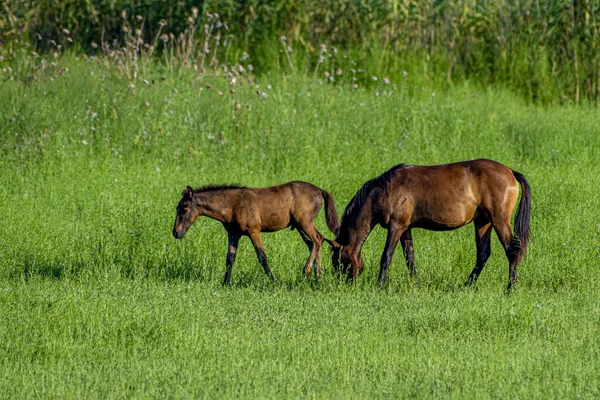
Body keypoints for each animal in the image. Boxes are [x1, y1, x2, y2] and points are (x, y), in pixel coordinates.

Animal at [175, 181, 342, 284]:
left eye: (185, 207)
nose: (176, 233)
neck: (232, 205)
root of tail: (320, 190)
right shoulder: (233, 234)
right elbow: (230, 259)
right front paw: (225, 283)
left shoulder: (254, 231)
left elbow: (262, 257)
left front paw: (274, 281)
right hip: (301, 226)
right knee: (315, 242)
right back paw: (318, 277)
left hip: (304, 222)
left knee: (318, 240)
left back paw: (307, 271)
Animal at [330, 159, 532, 290]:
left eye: (338, 261)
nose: (342, 285)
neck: (385, 191)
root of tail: (511, 172)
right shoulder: (405, 229)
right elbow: (410, 259)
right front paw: (416, 285)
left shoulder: (396, 227)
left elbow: (386, 257)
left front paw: (379, 286)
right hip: (483, 222)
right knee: (483, 254)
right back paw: (466, 286)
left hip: (499, 221)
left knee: (512, 251)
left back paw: (510, 288)